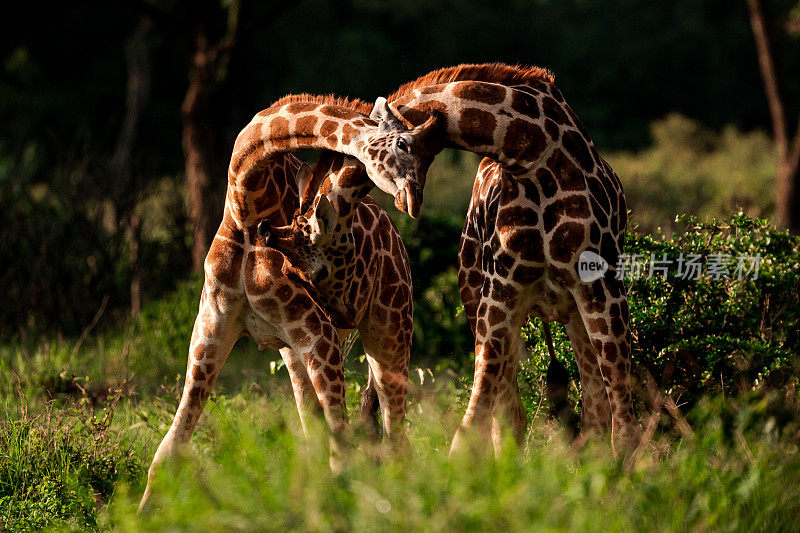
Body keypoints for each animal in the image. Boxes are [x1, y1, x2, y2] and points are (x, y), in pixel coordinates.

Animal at [137, 97, 438, 510]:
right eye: (404, 144)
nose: (414, 200)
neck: (246, 201)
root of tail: (398, 243)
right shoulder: (211, 326)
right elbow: (169, 449)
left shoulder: (318, 331)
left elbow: (341, 449)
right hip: (293, 353)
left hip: (390, 325)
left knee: (395, 436)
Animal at [276, 63, 644, 454]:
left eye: (319, 256)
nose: (411, 199)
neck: (533, 156)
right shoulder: (504, 288)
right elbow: (481, 411)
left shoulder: (600, 283)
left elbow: (622, 415)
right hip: (476, 294)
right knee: (516, 407)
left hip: (571, 308)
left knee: (592, 402)